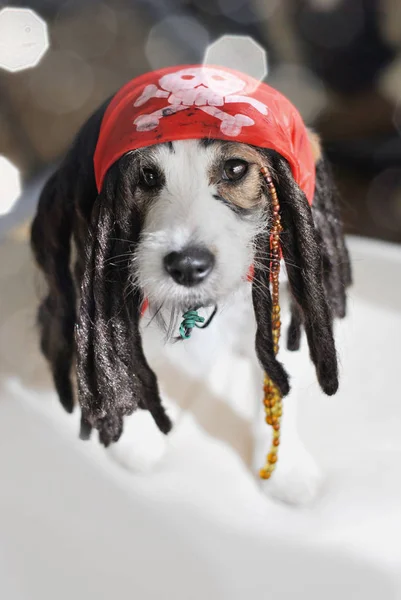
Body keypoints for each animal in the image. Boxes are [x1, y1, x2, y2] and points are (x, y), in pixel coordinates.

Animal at [30, 65, 350, 504]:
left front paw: (286, 466)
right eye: (146, 176)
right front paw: (135, 436)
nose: (187, 266)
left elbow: (276, 382)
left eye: (235, 169)